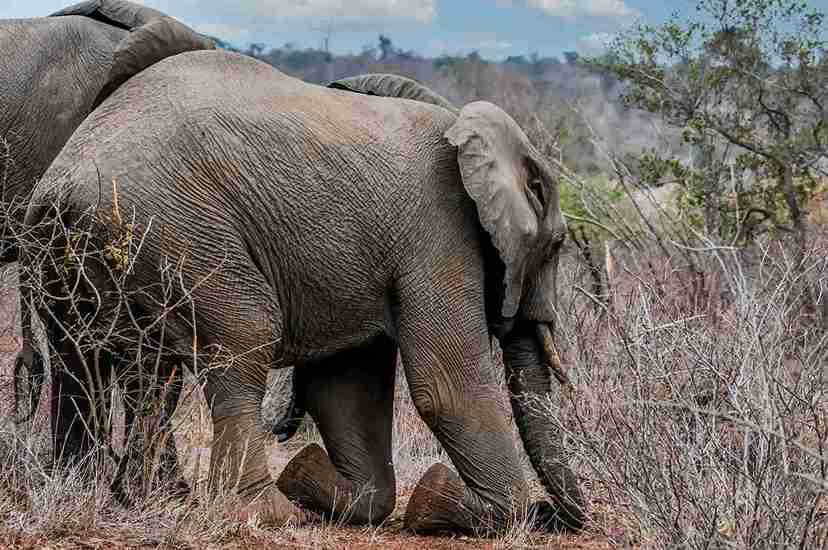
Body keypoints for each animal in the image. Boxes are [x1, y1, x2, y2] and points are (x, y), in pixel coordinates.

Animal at [22, 49, 584, 536]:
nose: (552, 516)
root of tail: (59, 186)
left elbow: (347, 387)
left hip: (81, 255)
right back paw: (263, 513)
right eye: (558, 244)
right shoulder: (439, 233)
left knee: (101, 363)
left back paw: (119, 496)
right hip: (176, 228)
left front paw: (309, 475)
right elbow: (448, 386)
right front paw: (441, 500)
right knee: (244, 337)